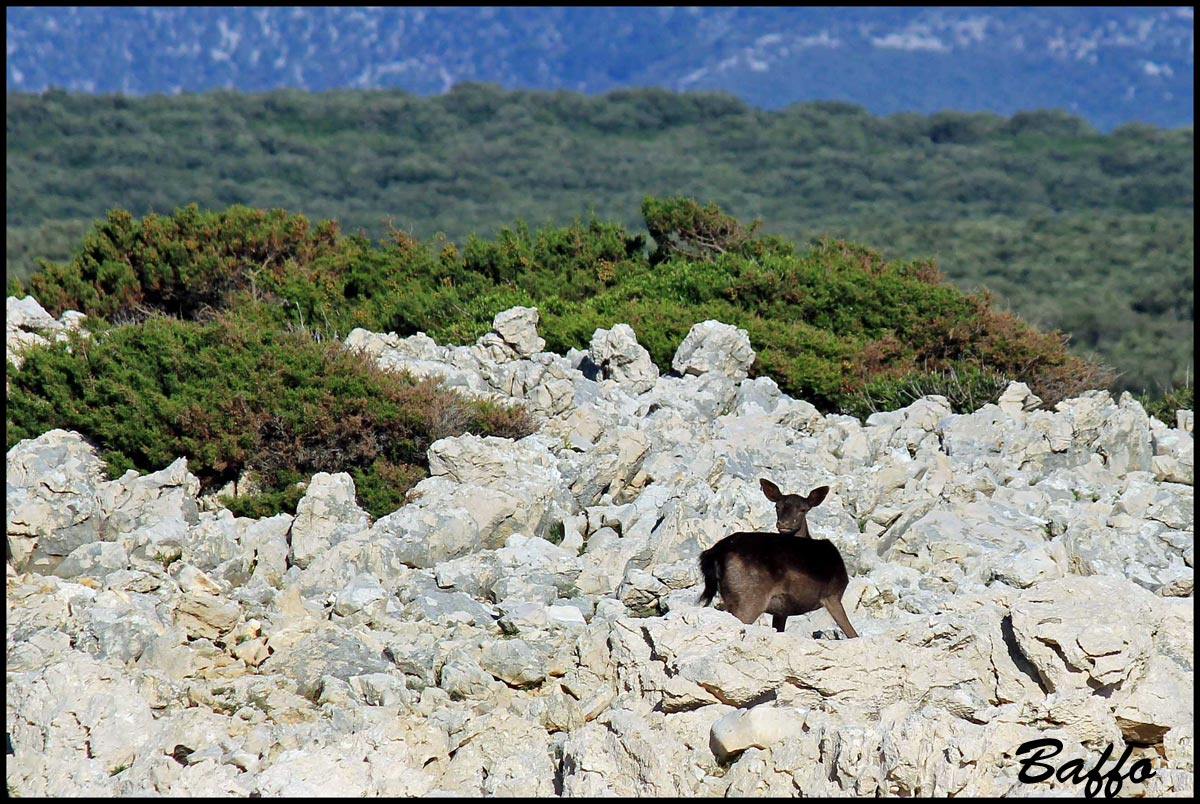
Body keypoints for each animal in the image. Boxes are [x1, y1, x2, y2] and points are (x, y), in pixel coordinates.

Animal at [700, 480, 859, 643]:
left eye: (803, 509)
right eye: (777, 506)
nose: (783, 523)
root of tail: (716, 552)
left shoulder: (782, 611)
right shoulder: (833, 595)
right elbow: (853, 634)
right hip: (748, 599)